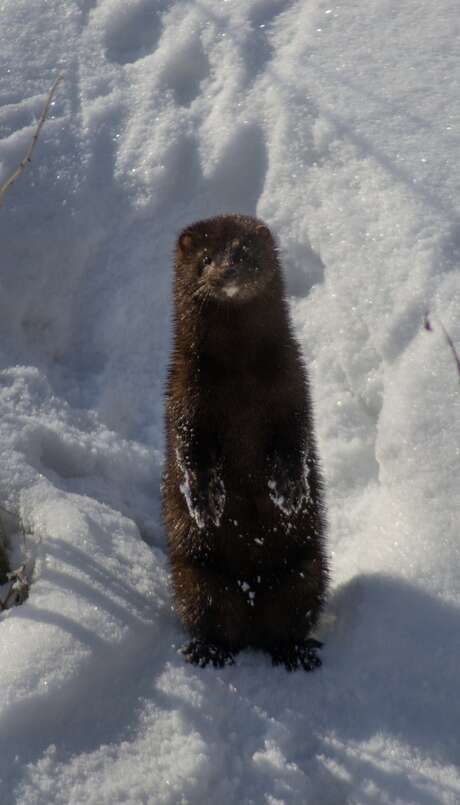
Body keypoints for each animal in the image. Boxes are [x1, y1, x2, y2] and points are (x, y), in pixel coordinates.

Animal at [163, 214, 328, 670]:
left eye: (242, 251)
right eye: (205, 259)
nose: (227, 272)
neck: (240, 377)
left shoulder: (293, 385)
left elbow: (295, 439)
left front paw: (290, 490)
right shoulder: (186, 393)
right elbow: (188, 449)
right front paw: (205, 501)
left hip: (307, 569)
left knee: (290, 618)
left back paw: (296, 652)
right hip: (195, 576)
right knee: (211, 617)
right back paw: (208, 650)